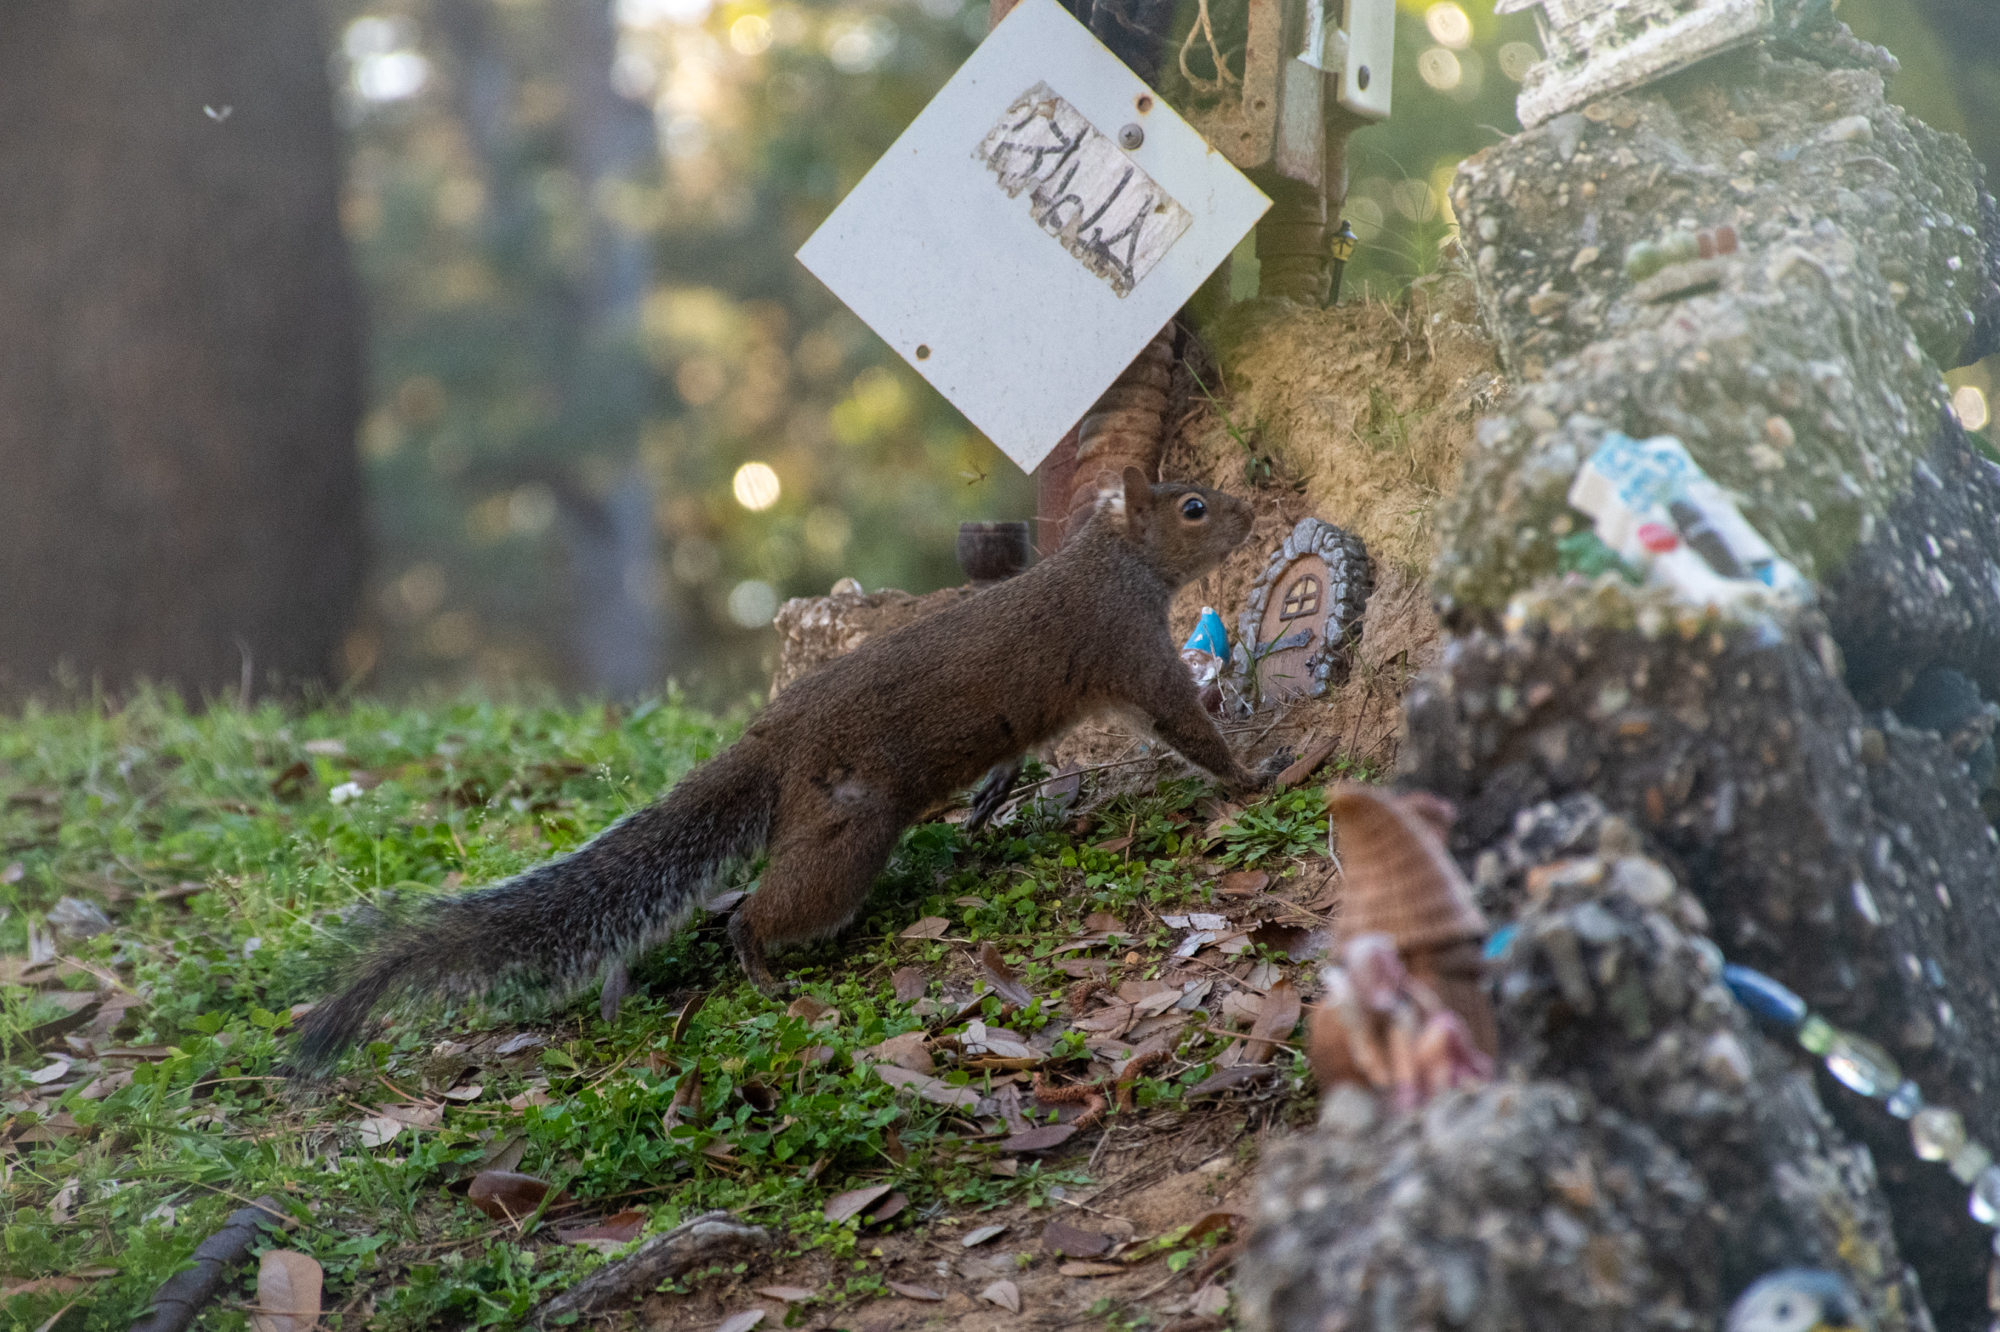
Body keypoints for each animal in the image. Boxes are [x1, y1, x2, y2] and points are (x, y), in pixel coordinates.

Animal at [290, 466, 1256, 1072]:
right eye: (1195, 506)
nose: (1252, 514)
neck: (1116, 559)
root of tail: (771, 737)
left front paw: (995, 794)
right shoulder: (1128, 650)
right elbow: (1185, 725)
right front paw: (1256, 774)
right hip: (848, 831)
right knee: (759, 910)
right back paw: (759, 965)